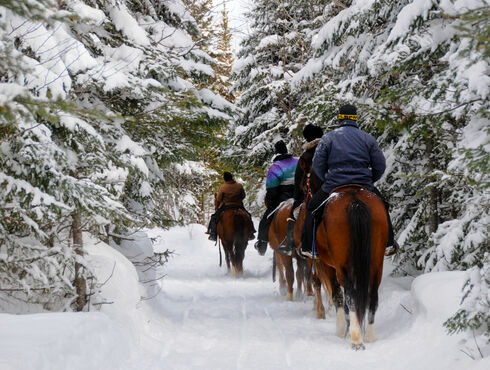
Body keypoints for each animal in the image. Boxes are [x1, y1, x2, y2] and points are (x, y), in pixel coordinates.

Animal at [314, 185, 390, 350]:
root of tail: (355, 200)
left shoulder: (329, 266)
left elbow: (337, 296)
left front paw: (342, 329)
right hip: (376, 264)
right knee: (372, 296)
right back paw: (368, 337)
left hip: (342, 266)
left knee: (350, 296)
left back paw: (356, 339)